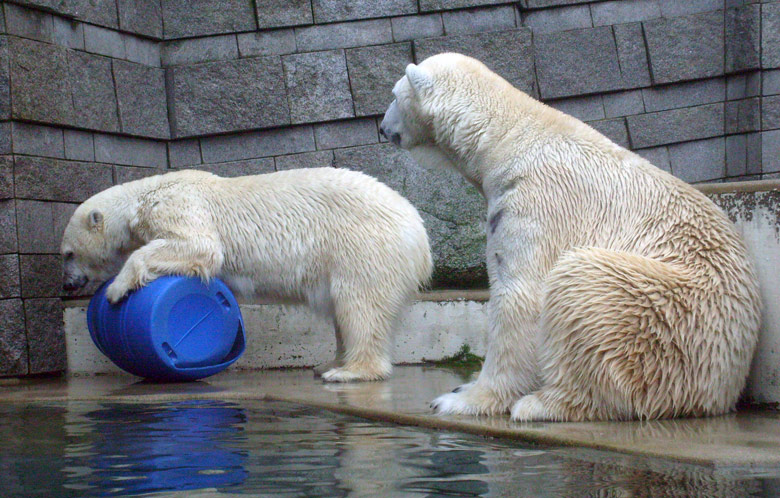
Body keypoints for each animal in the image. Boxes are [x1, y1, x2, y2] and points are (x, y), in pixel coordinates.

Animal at [62, 167, 432, 382]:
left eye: (67, 254)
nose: (67, 284)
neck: (143, 197)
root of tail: (420, 235)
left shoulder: (179, 206)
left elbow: (201, 246)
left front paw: (117, 289)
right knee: (344, 311)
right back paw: (328, 363)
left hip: (363, 246)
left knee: (360, 306)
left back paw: (348, 372)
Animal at [380, 53, 760, 420]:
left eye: (395, 95)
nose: (381, 127)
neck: (508, 140)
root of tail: (724, 388)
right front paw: (465, 386)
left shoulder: (536, 204)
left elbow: (521, 294)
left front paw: (463, 398)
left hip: (668, 314)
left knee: (582, 281)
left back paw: (544, 404)